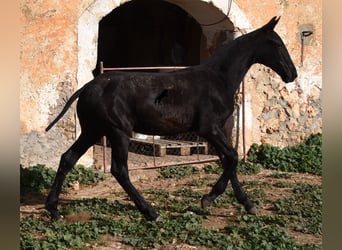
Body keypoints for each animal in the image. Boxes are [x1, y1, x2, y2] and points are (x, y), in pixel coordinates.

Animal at [44, 17, 296, 221]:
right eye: (277, 44)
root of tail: (87, 88)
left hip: (93, 131)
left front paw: (247, 203)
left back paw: (53, 209)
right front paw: (209, 198)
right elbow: (233, 157)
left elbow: (228, 161)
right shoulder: (209, 128)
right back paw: (151, 212)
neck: (218, 79)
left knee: (68, 158)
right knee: (119, 170)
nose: (292, 74)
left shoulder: (214, 132)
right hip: (118, 132)